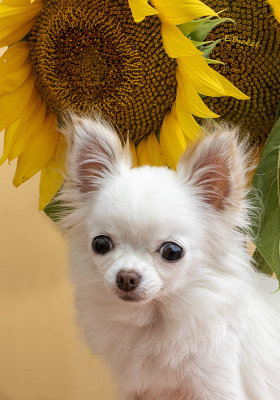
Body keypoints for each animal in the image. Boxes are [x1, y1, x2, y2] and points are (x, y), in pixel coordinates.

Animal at [59, 115, 280, 400]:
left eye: (172, 252)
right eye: (100, 244)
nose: (126, 277)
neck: (155, 323)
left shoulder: (219, 386)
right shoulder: (136, 391)